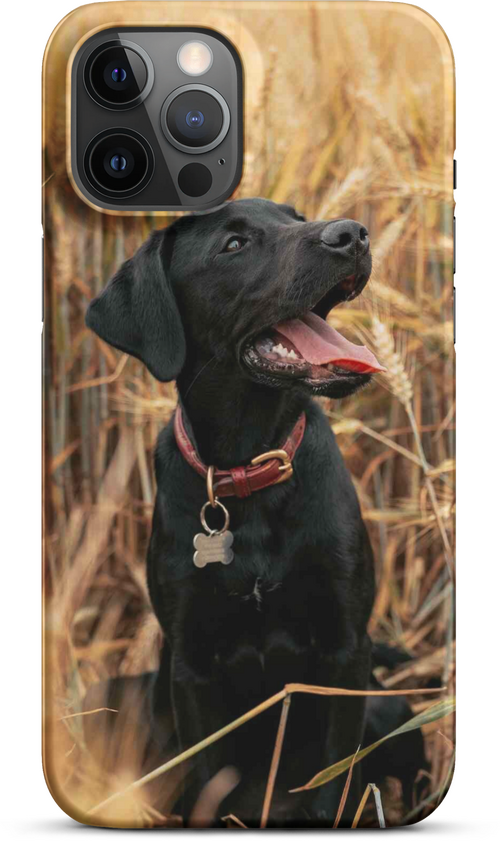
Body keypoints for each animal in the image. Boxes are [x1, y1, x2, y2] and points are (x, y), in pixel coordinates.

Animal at [87, 199, 390, 828]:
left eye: (295, 217)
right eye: (233, 245)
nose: (352, 235)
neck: (249, 471)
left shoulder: (347, 648)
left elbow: (333, 777)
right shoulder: (191, 666)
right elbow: (206, 779)